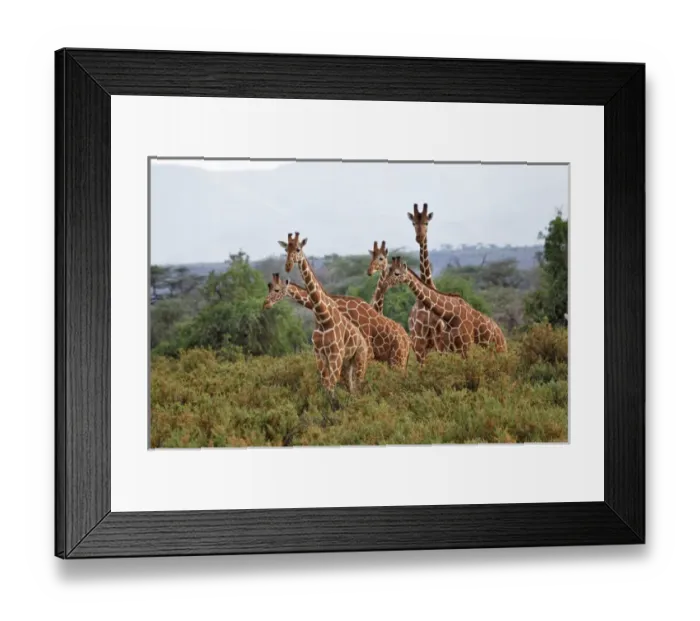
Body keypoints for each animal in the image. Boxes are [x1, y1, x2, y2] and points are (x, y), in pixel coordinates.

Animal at [264, 273, 411, 370]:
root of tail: (407, 339)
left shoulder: (365, 350)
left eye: (276, 290)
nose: (266, 303)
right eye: (269, 288)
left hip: (398, 358)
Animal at [278, 233, 370, 396]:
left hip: (360, 359)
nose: (287, 266)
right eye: (285, 250)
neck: (322, 316)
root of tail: (364, 342)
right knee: (351, 388)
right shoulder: (319, 354)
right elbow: (326, 385)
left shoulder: (335, 355)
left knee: (358, 387)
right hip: (347, 364)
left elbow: (331, 386)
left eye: (298, 249)